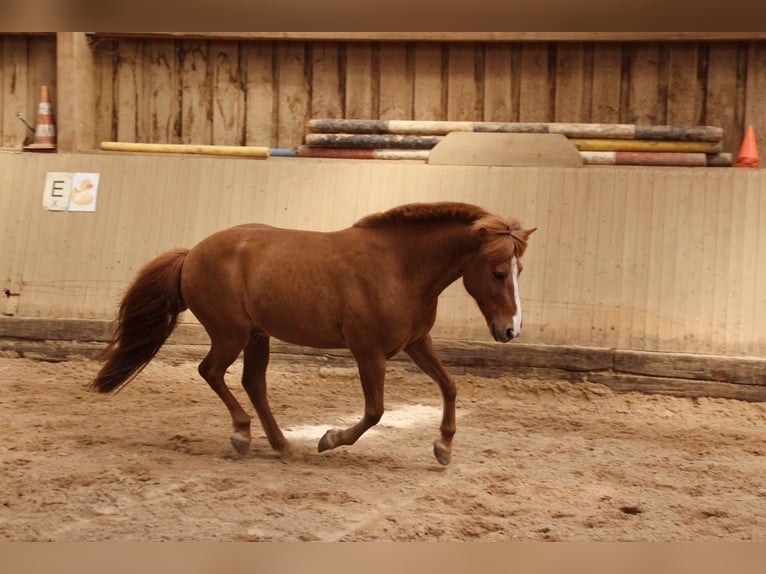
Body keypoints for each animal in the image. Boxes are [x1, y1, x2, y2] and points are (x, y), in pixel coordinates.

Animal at [91, 202, 535, 465]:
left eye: (520, 270)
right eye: (498, 272)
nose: (511, 330)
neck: (399, 267)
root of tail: (192, 254)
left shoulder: (415, 343)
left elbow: (449, 386)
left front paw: (443, 447)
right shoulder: (367, 352)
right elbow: (375, 411)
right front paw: (329, 438)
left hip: (256, 336)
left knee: (253, 383)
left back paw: (281, 445)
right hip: (230, 333)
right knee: (212, 372)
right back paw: (242, 434)